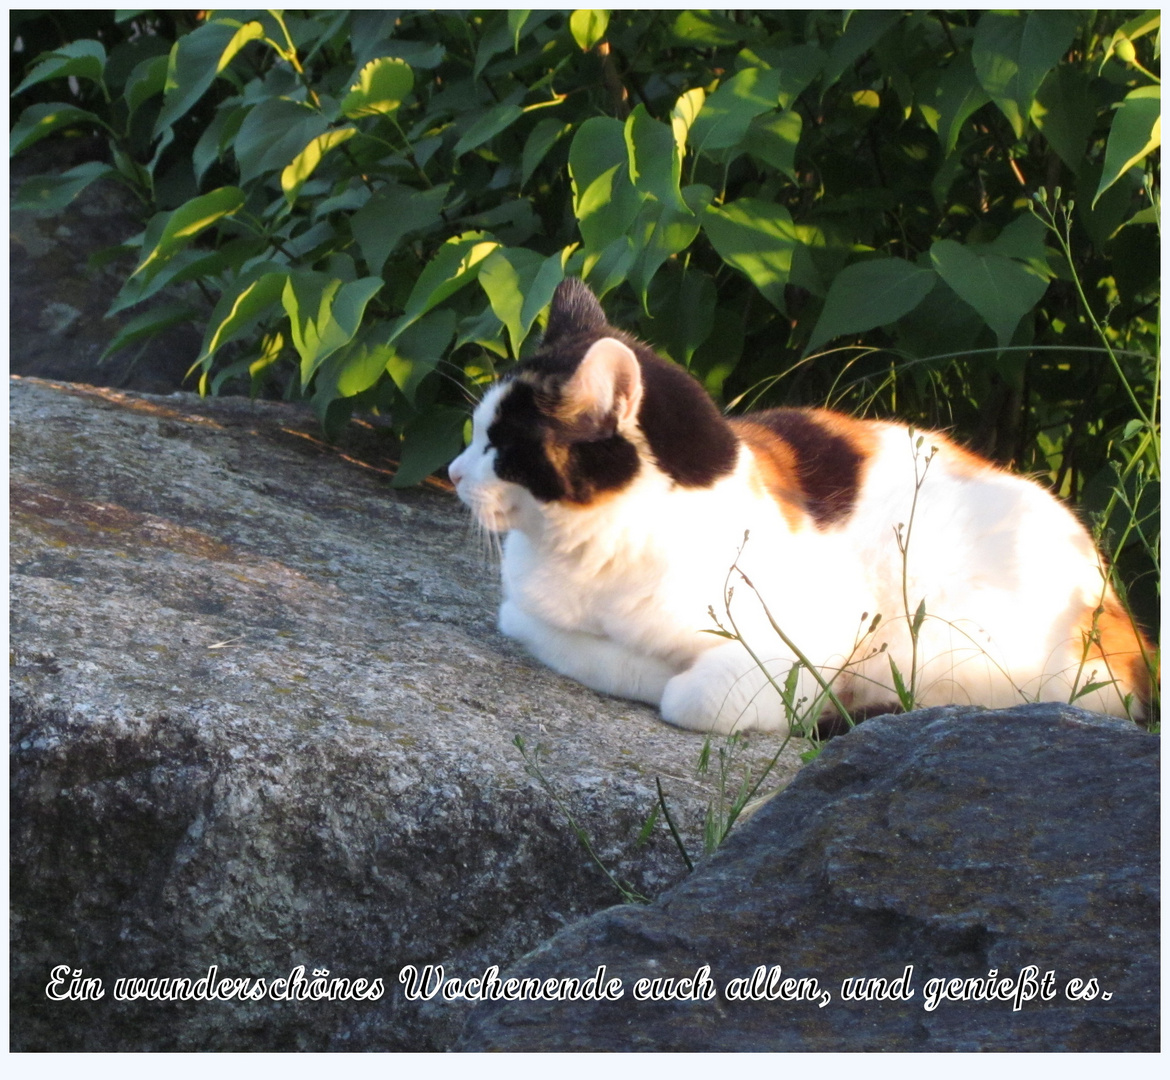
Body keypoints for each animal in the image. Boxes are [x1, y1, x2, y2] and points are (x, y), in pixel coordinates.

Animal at [446, 276, 1151, 734]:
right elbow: (562, 637)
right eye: (475, 433)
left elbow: (692, 697)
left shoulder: (820, 637)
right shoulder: (525, 612)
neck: (603, 548)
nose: (452, 473)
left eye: (499, 446)